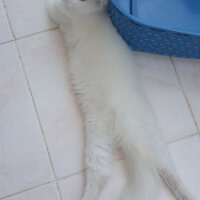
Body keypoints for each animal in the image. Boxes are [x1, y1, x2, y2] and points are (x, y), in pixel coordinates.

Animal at [46, 0, 195, 199]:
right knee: (168, 170)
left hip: (97, 142)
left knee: (99, 177)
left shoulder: (59, 13)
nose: (100, 3)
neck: (93, 15)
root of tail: (128, 122)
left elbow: (52, 6)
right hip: (156, 143)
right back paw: (188, 194)